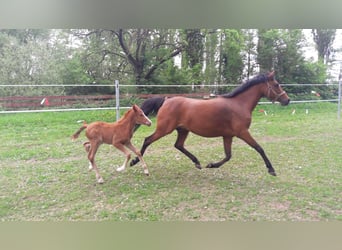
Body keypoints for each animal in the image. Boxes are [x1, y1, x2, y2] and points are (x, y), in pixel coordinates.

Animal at [130, 71, 288, 176]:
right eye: (276, 84)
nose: (287, 100)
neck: (239, 104)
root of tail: (166, 100)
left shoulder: (228, 136)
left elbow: (228, 155)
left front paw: (211, 165)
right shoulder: (242, 132)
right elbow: (259, 148)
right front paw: (271, 170)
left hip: (183, 130)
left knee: (178, 145)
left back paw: (197, 162)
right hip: (164, 129)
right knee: (148, 140)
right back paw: (134, 161)